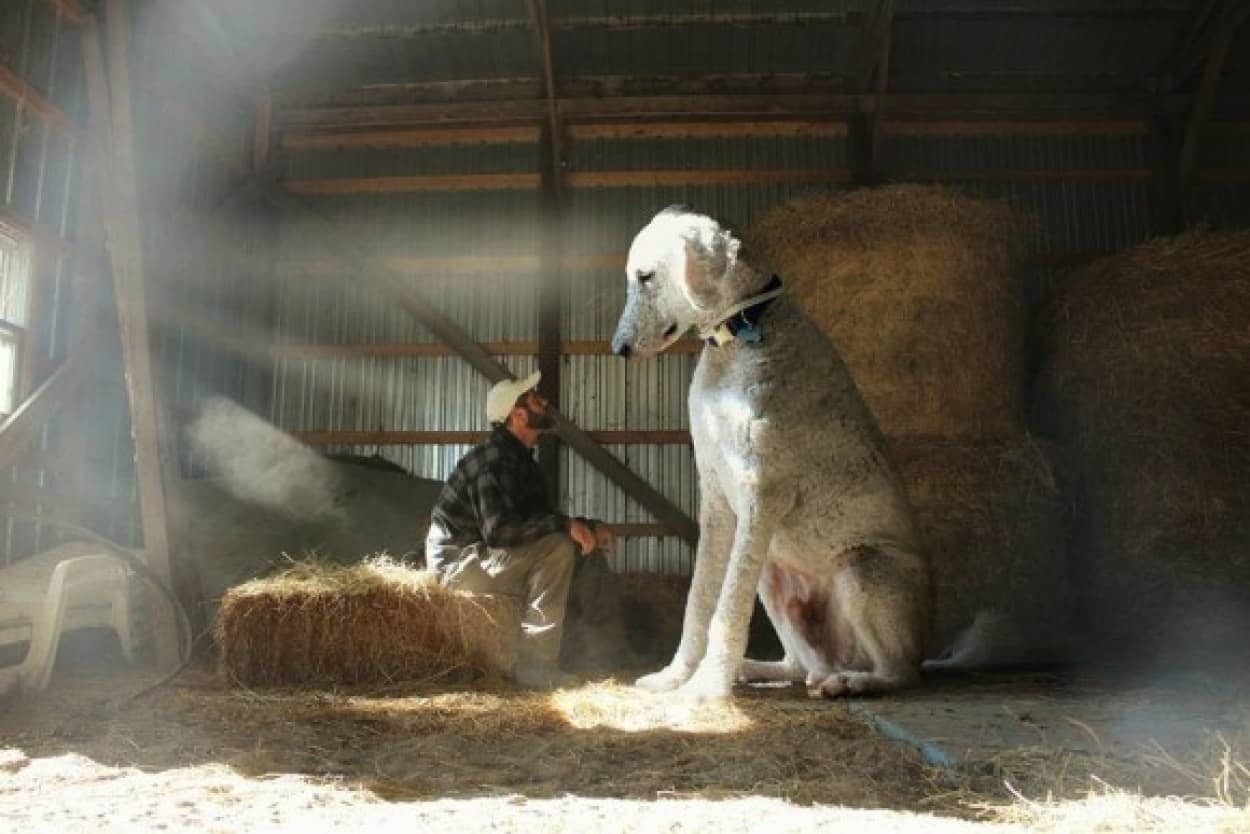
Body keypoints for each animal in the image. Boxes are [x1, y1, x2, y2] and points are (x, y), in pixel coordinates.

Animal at [610, 205, 935, 700]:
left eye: (645, 277)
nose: (618, 348)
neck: (738, 338)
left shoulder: (761, 496)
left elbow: (727, 609)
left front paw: (705, 688)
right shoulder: (716, 497)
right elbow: (700, 599)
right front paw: (676, 675)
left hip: (861, 567)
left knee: (900, 671)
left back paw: (851, 682)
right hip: (772, 574)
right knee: (799, 666)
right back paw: (758, 669)